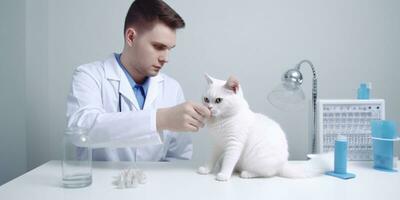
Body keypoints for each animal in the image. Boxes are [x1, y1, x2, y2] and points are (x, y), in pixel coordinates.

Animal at [198, 74, 332, 181]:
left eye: (218, 100)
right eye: (206, 99)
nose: (209, 107)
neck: (221, 121)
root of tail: (283, 164)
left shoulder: (234, 144)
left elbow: (229, 161)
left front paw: (224, 175)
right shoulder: (216, 144)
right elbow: (211, 159)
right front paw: (206, 169)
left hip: (259, 160)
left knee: (268, 173)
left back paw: (247, 173)